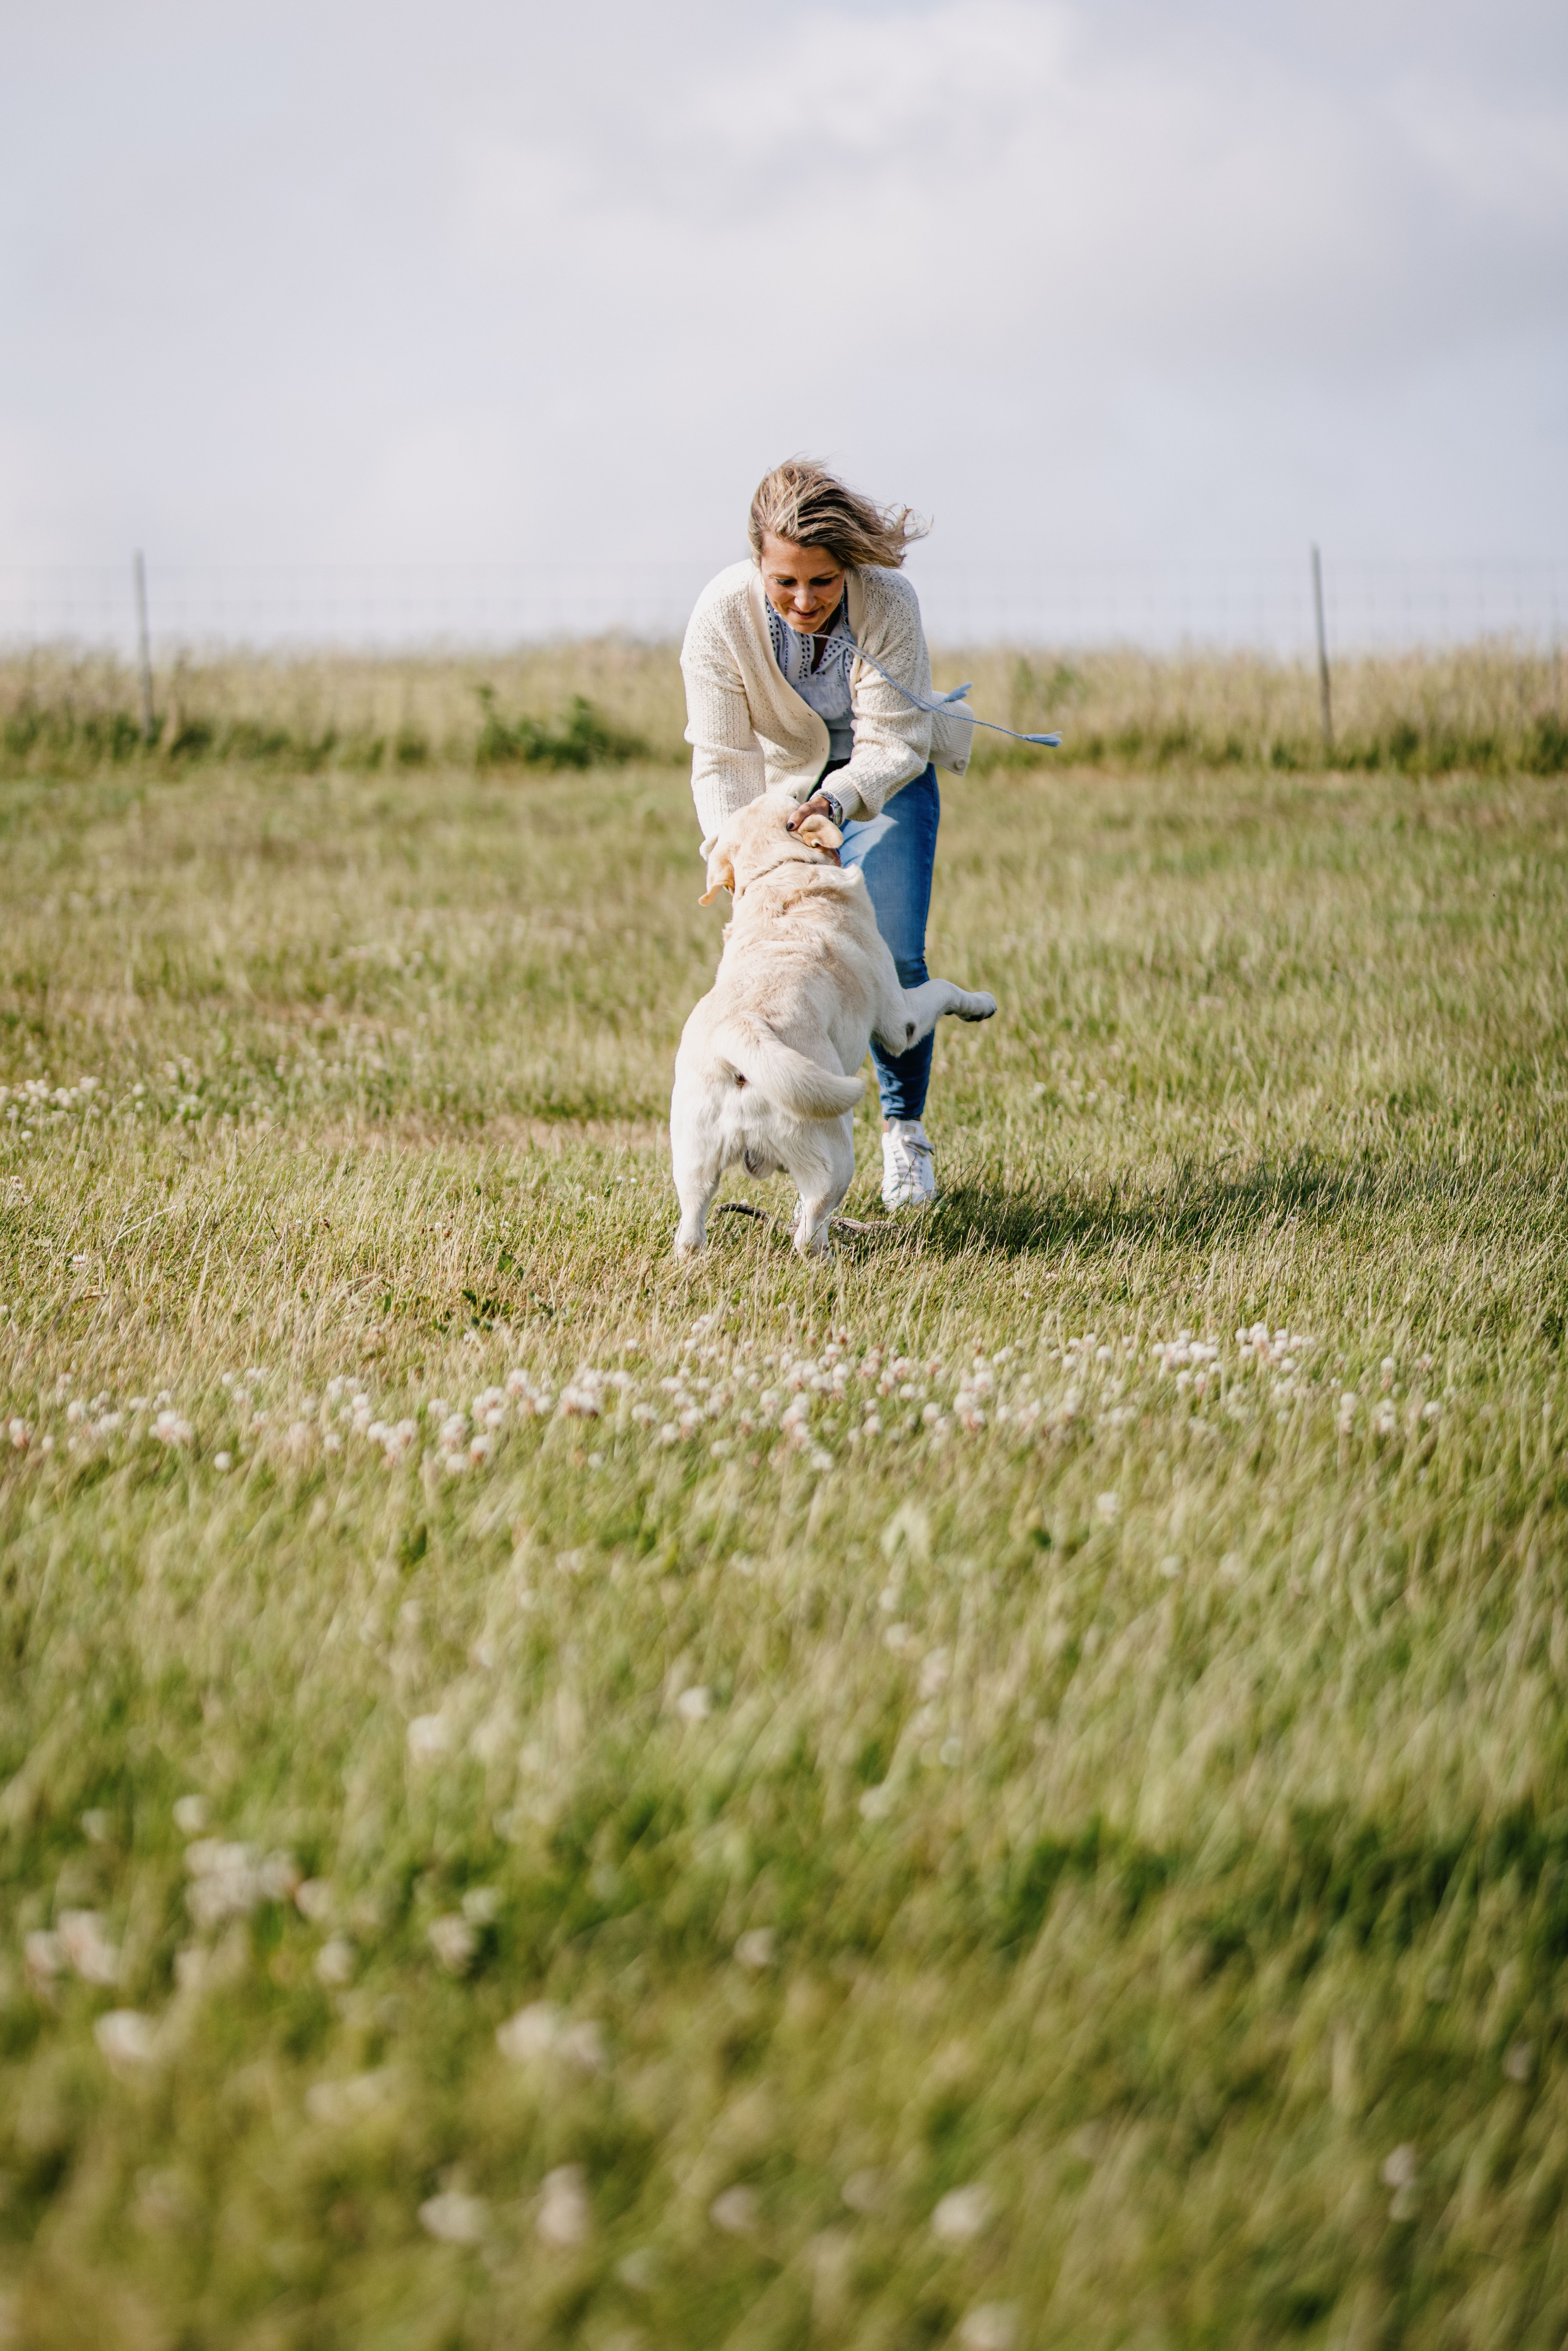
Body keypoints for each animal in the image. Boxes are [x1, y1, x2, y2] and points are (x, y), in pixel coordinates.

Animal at [667, 790, 1001, 1260]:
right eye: (794, 799)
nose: (812, 792)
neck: (778, 874)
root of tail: (743, 1031)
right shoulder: (899, 1019)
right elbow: (943, 989)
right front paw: (980, 1004)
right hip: (835, 1153)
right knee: (809, 1231)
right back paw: (830, 1256)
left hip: (693, 1162)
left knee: (691, 1229)